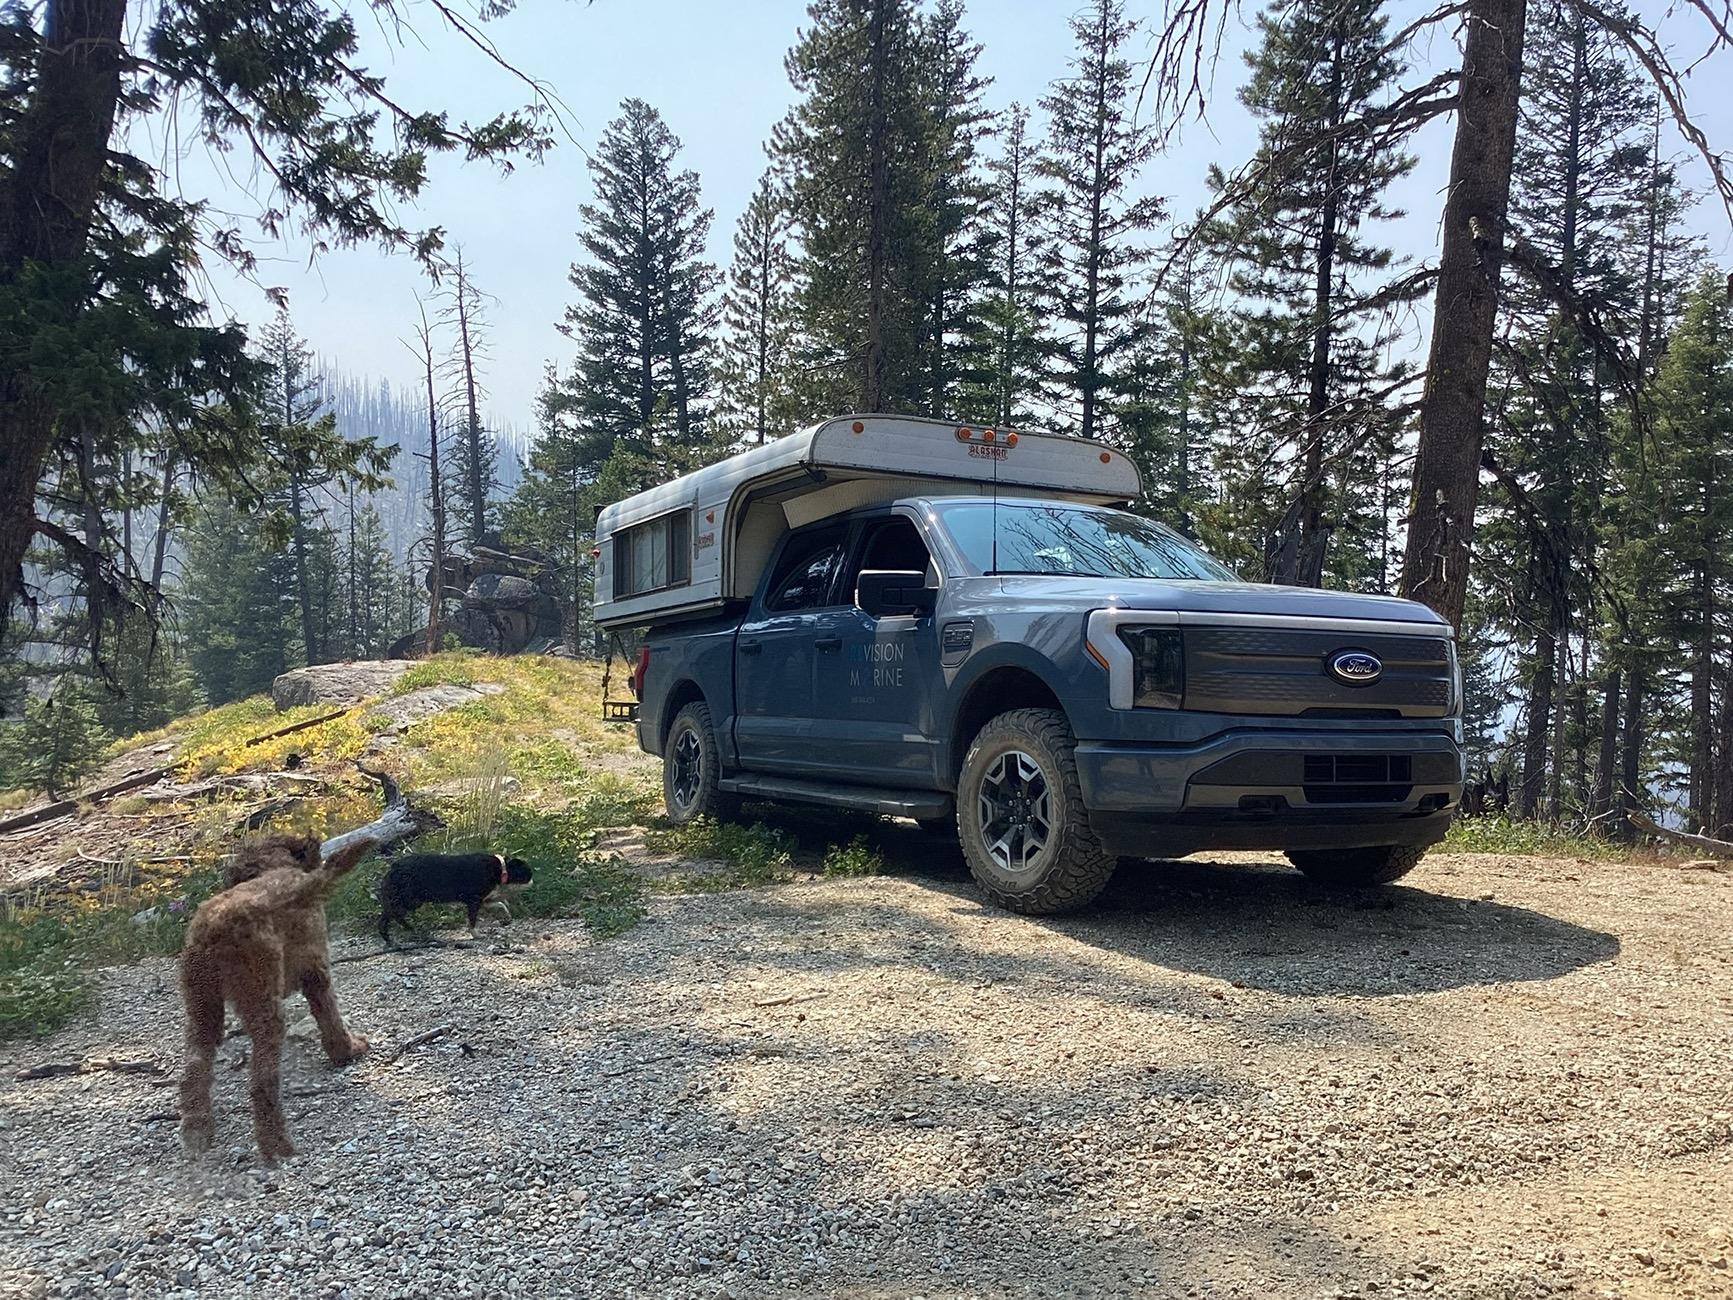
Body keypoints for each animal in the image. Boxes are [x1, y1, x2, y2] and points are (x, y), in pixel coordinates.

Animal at [177, 835, 374, 1157]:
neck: (272, 867)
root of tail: (215, 929)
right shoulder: (316, 970)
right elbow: (331, 1019)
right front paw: (347, 1050)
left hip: (202, 1008)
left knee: (194, 1071)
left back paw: (197, 1130)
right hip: (263, 1005)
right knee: (262, 1081)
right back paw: (277, 1145)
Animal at [381, 856, 530, 949]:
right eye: (527, 874)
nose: (532, 881)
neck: (500, 869)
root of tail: (393, 867)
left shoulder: (483, 901)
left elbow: (501, 904)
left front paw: (507, 916)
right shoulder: (474, 902)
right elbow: (472, 921)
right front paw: (476, 935)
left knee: (385, 917)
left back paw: (389, 939)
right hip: (409, 901)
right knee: (393, 916)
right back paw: (412, 932)